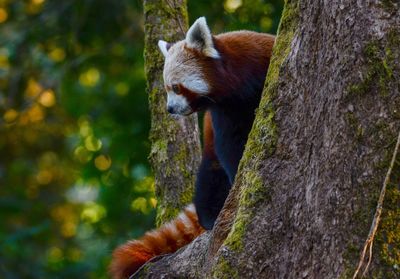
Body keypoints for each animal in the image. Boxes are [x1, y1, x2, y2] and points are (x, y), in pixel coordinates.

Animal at [110, 16, 276, 278]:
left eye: (176, 87)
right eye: (167, 89)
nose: (169, 109)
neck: (240, 82)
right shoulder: (224, 113)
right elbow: (231, 150)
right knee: (210, 175)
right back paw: (211, 216)